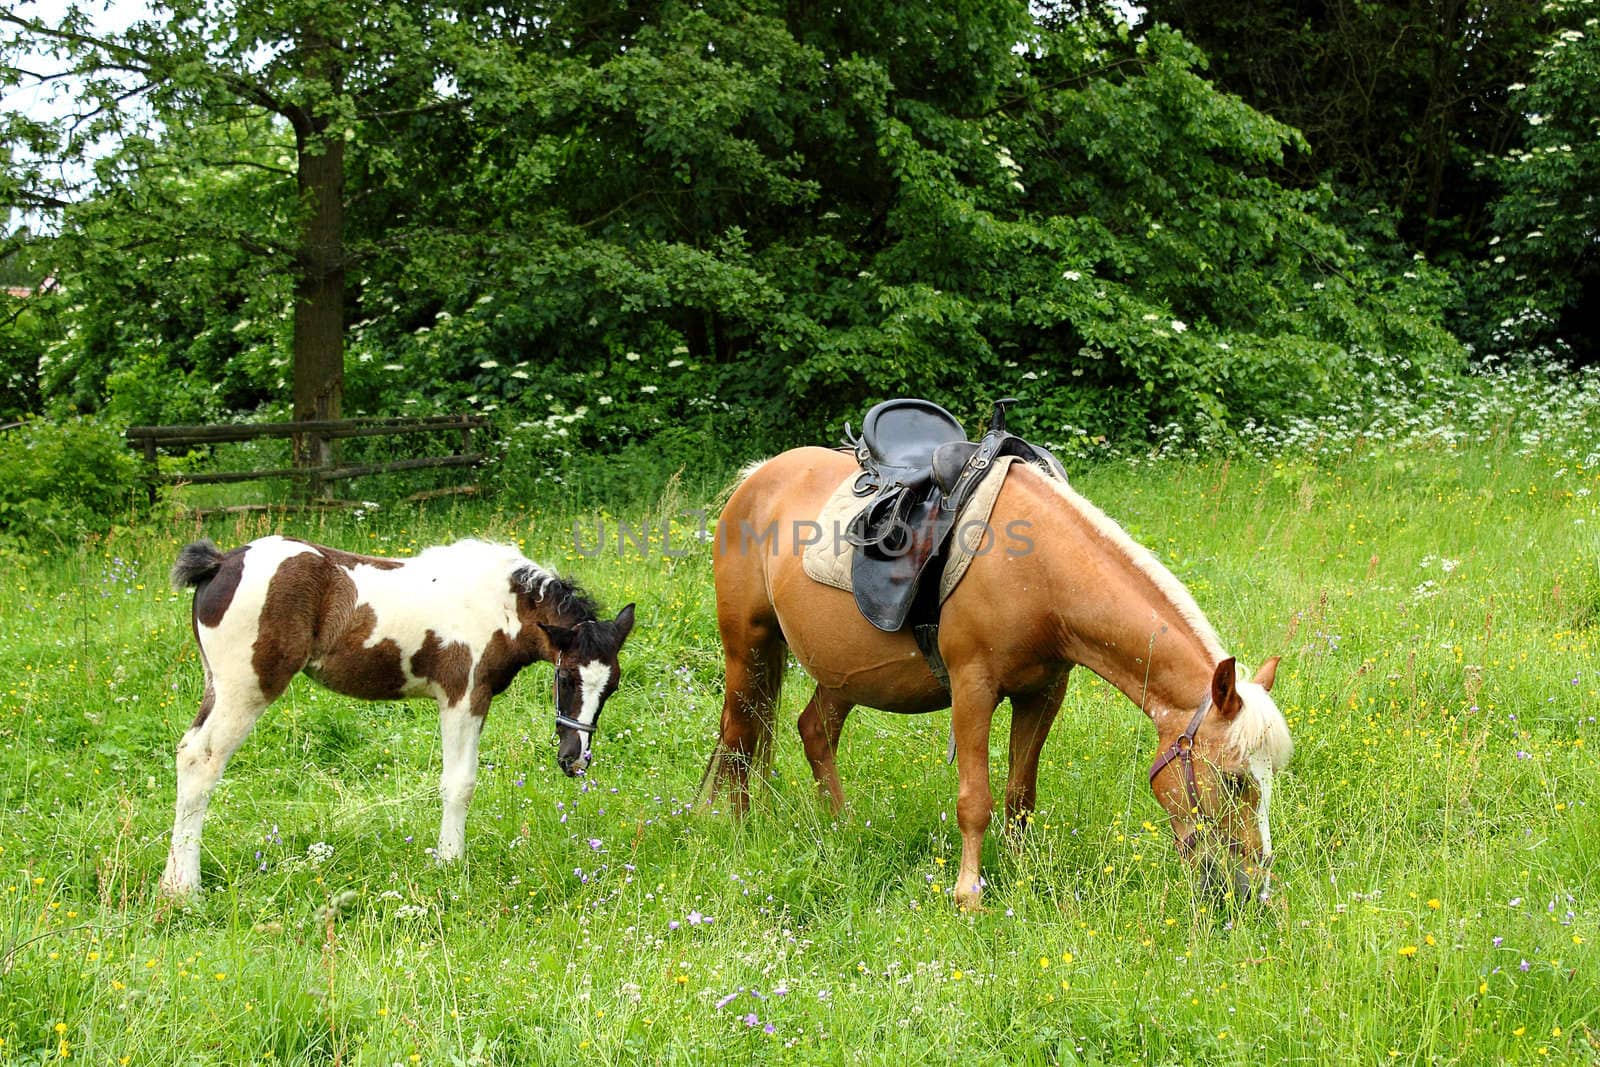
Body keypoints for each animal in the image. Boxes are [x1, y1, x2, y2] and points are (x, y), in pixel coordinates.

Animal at [160, 531, 630, 895]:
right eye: (565, 677)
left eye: (612, 687)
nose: (575, 760)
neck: (498, 605)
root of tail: (222, 562)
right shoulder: (463, 696)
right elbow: (459, 784)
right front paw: (449, 863)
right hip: (245, 689)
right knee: (200, 760)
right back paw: (184, 890)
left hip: (217, 685)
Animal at [707, 447, 1292, 908]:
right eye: (1235, 780)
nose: (1253, 891)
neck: (1040, 571)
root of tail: (756, 478)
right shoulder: (973, 689)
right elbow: (976, 801)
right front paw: (969, 895)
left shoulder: (1042, 693)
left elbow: (1019, 796)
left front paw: (1020, 874)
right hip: (747, 648)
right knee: (738, 738)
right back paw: (739, 832)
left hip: (842, 672)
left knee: (815, 732)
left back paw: (842, 827)